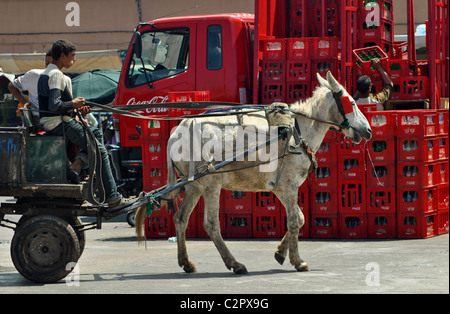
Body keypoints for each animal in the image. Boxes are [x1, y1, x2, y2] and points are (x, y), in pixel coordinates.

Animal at [134, 72, 372, 274]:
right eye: (352, 102)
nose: (369, 130)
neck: (298, 130)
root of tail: (178, 132)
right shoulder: (289, 185)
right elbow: (294, 221)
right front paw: (298, 261)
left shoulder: (280, 188)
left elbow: (301, 218)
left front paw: (280, 253)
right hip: (211, 183)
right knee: (211, 225)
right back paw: (235, 264)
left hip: (194, 184)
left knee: (181, 218)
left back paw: (186, 262)